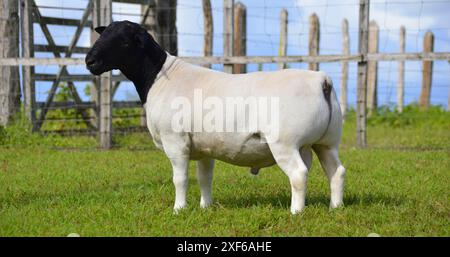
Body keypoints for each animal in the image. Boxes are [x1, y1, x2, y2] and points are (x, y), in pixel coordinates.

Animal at [85, 21, 344, 214]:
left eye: (123, 40)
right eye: (102, 34)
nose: (89, 61)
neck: (157, 78)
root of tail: (321, 80)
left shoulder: (175, 141)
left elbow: (180, 179)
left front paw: (179, 209)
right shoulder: (204, 148)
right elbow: (204, 178)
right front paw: (205, 207)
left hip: (285, 143)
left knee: (299, 174)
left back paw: (296, 212)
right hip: (325, 142)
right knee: (336, 171)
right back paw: (335, 207)